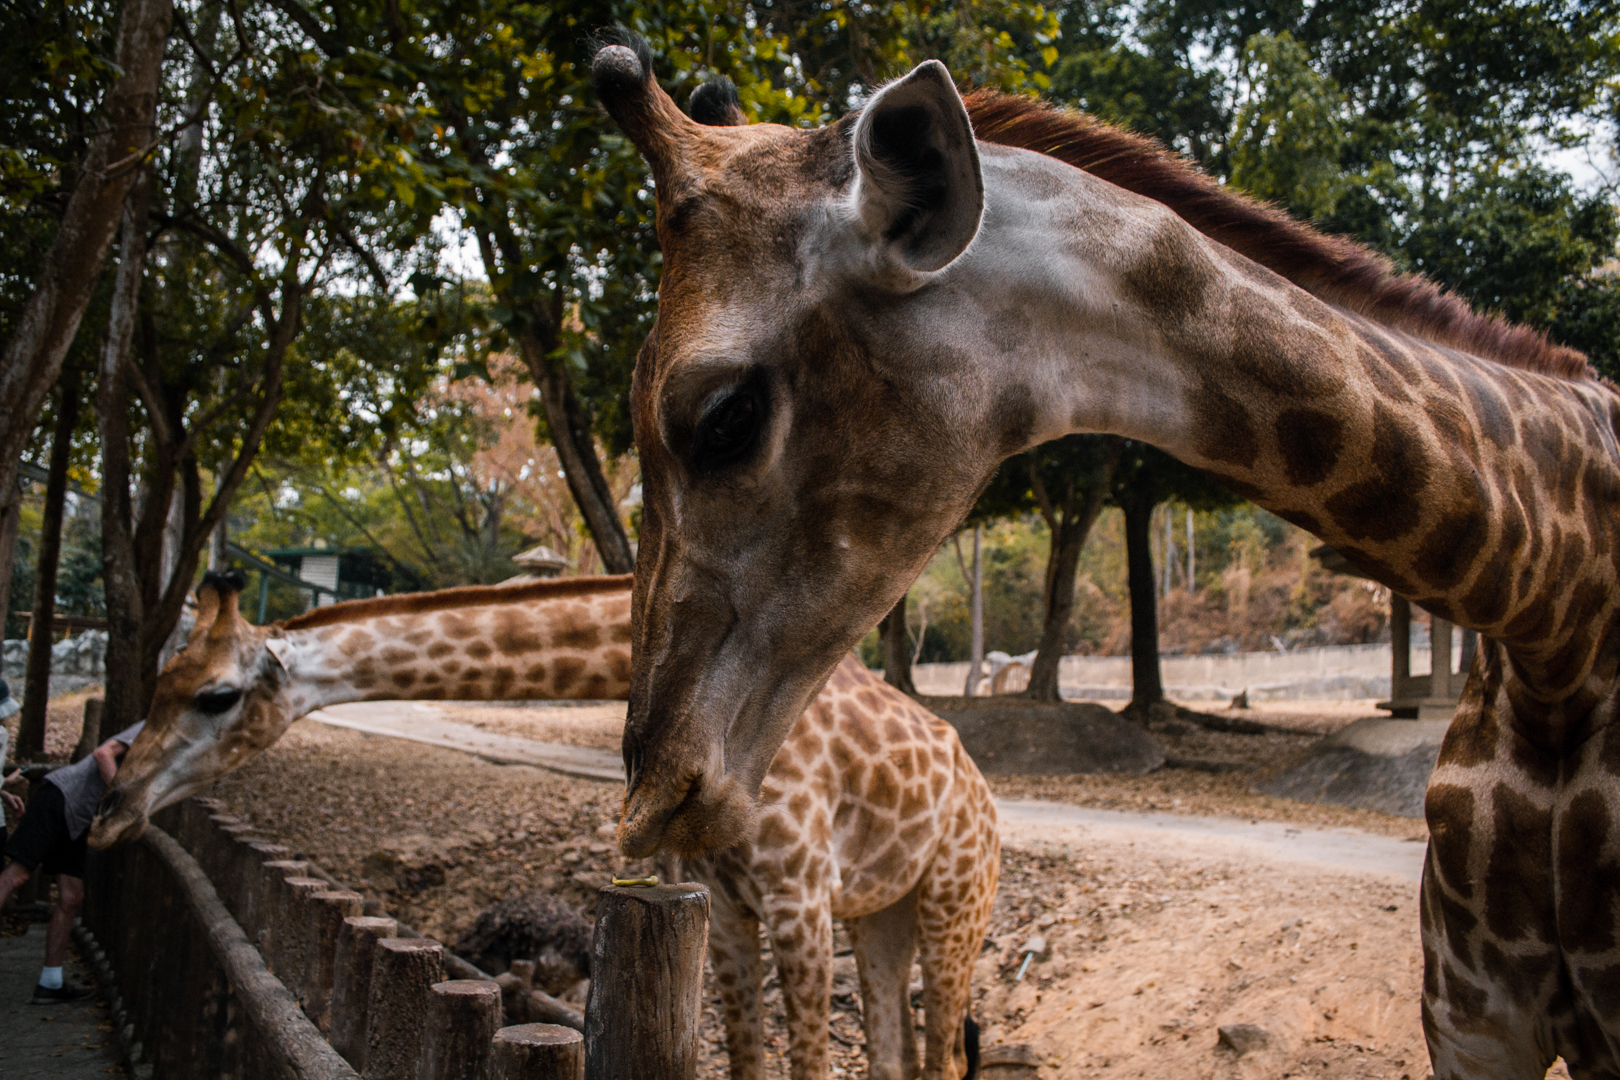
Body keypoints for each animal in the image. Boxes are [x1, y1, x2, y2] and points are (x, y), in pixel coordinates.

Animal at [93, 572, 999, 1080]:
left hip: (957, 900)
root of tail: (983, 795)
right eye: (161, 685)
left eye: (214, 696)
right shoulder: (727, 899)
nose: (111, 810)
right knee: (899, 1052)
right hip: (884, 912)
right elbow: (750, 1060)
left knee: (948, 1053)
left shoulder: (798, 894)